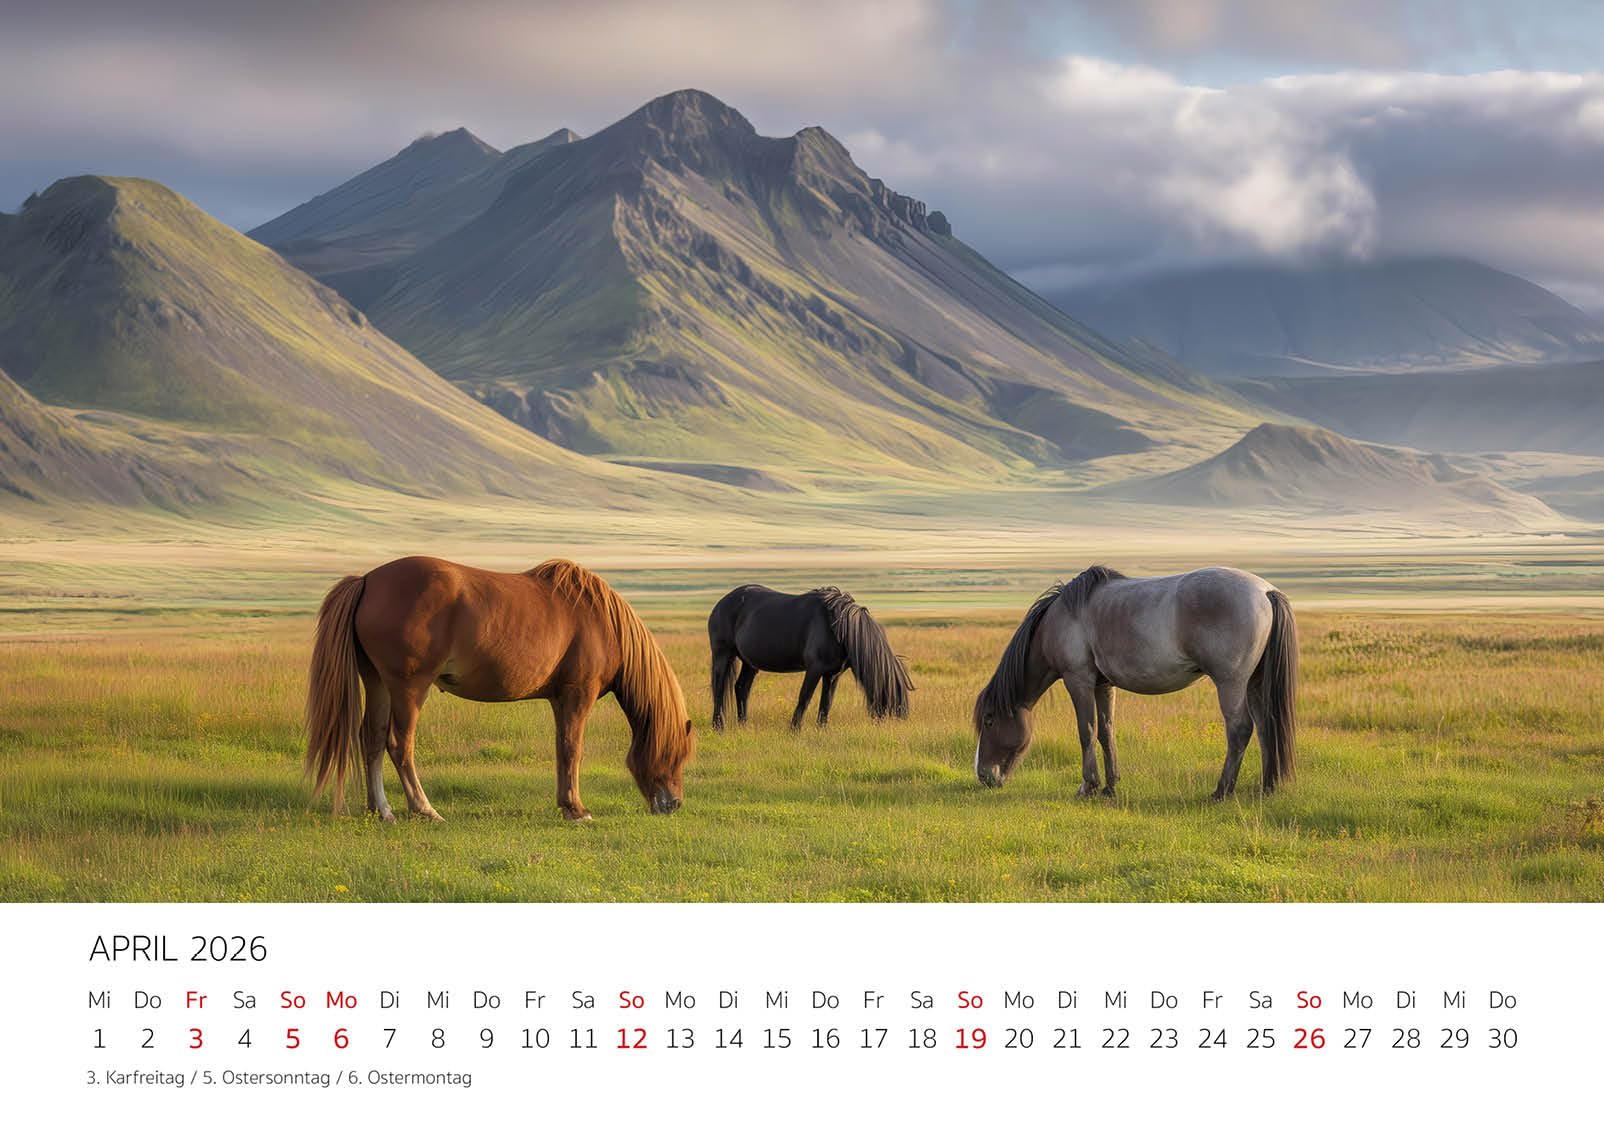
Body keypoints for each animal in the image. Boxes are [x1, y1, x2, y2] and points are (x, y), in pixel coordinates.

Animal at [304, 556, 694, 822]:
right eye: (677, 755)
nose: (673, 804)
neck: (602, 622)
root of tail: (368, 580)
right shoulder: (577, 695)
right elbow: (573, 749)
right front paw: (577, 809)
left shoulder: (559, 700)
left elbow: (561, 749)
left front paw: (565, 804)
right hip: (409, 688)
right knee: (400, 744)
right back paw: (424, 809)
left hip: (378, 683)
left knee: (370, 739)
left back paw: (383, 810)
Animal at [708, 585, 913, 730]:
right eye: (891, 697)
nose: (889, 726)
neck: (839, 627)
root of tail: (722, 602)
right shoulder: (814, 670)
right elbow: (804, 698)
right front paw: (794, 729)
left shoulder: (833, 675)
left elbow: (826, 703)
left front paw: (821, 729)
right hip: (722, 655)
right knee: (719, 689)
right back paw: (718, 726)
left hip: (750, 663)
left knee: (741, 688)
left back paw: (744, 725)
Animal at [972, 566, 1297, 799]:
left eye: (989, 720)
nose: (983, 775)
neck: (1062, 618)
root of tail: (1266, 591)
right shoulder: (1103, 685)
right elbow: (1106, 731)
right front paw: (1109, 787)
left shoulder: (1078, 680)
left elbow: (1086, 731)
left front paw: (1087, 787)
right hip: (1254, 684)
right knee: (1265, 726)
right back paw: (1267, 787)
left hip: (1231, 683)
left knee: (1240, 729)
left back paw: (1221, 791)